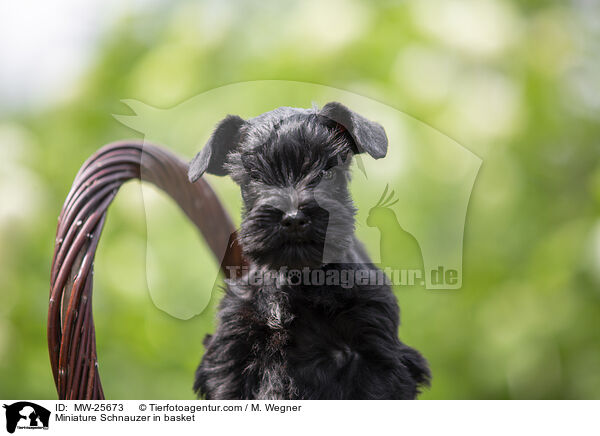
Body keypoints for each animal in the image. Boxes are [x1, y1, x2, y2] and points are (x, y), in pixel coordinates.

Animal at [190, 101, 428, 398]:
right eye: (254, 177)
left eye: (327, 171)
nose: (293, 218)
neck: (297, 281)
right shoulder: (230, 359)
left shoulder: (376, 355)